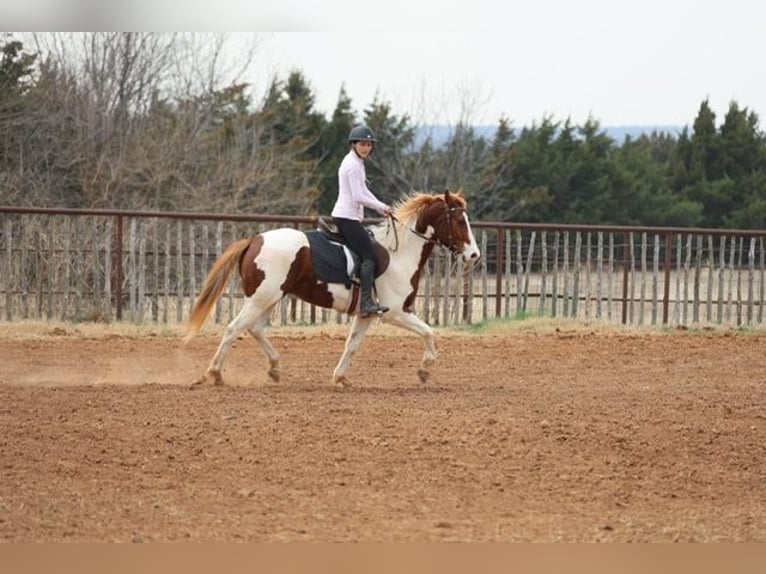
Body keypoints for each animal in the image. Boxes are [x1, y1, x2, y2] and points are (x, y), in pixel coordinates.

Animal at [186, 189, 481, 387]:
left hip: (269, 298)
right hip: (261, 298)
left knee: (254, 329)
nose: (475, 255)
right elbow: (429, 332)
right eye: (459, 221)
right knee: (234, 329)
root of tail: (254, 240)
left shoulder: (366, 314)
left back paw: (275, 368)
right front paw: (424, 370)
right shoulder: (396, 313)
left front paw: (340, 378)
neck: (400, 253)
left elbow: (352, 345)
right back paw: (214, 373)